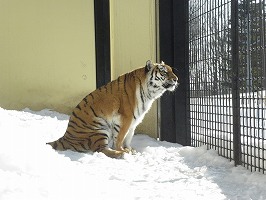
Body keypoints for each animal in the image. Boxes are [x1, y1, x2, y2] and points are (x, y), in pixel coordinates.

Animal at [46, 60, 179, 159]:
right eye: (164, 72)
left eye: (172, 70)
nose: (176, 79)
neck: (150, 93)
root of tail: (65, 137)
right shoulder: (126, 118)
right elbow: (120, 137)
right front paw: (123, 150)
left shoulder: (134, 121)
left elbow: (128, 137)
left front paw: (130, 149)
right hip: (99, 129)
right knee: (100, 150)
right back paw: (121, 154)